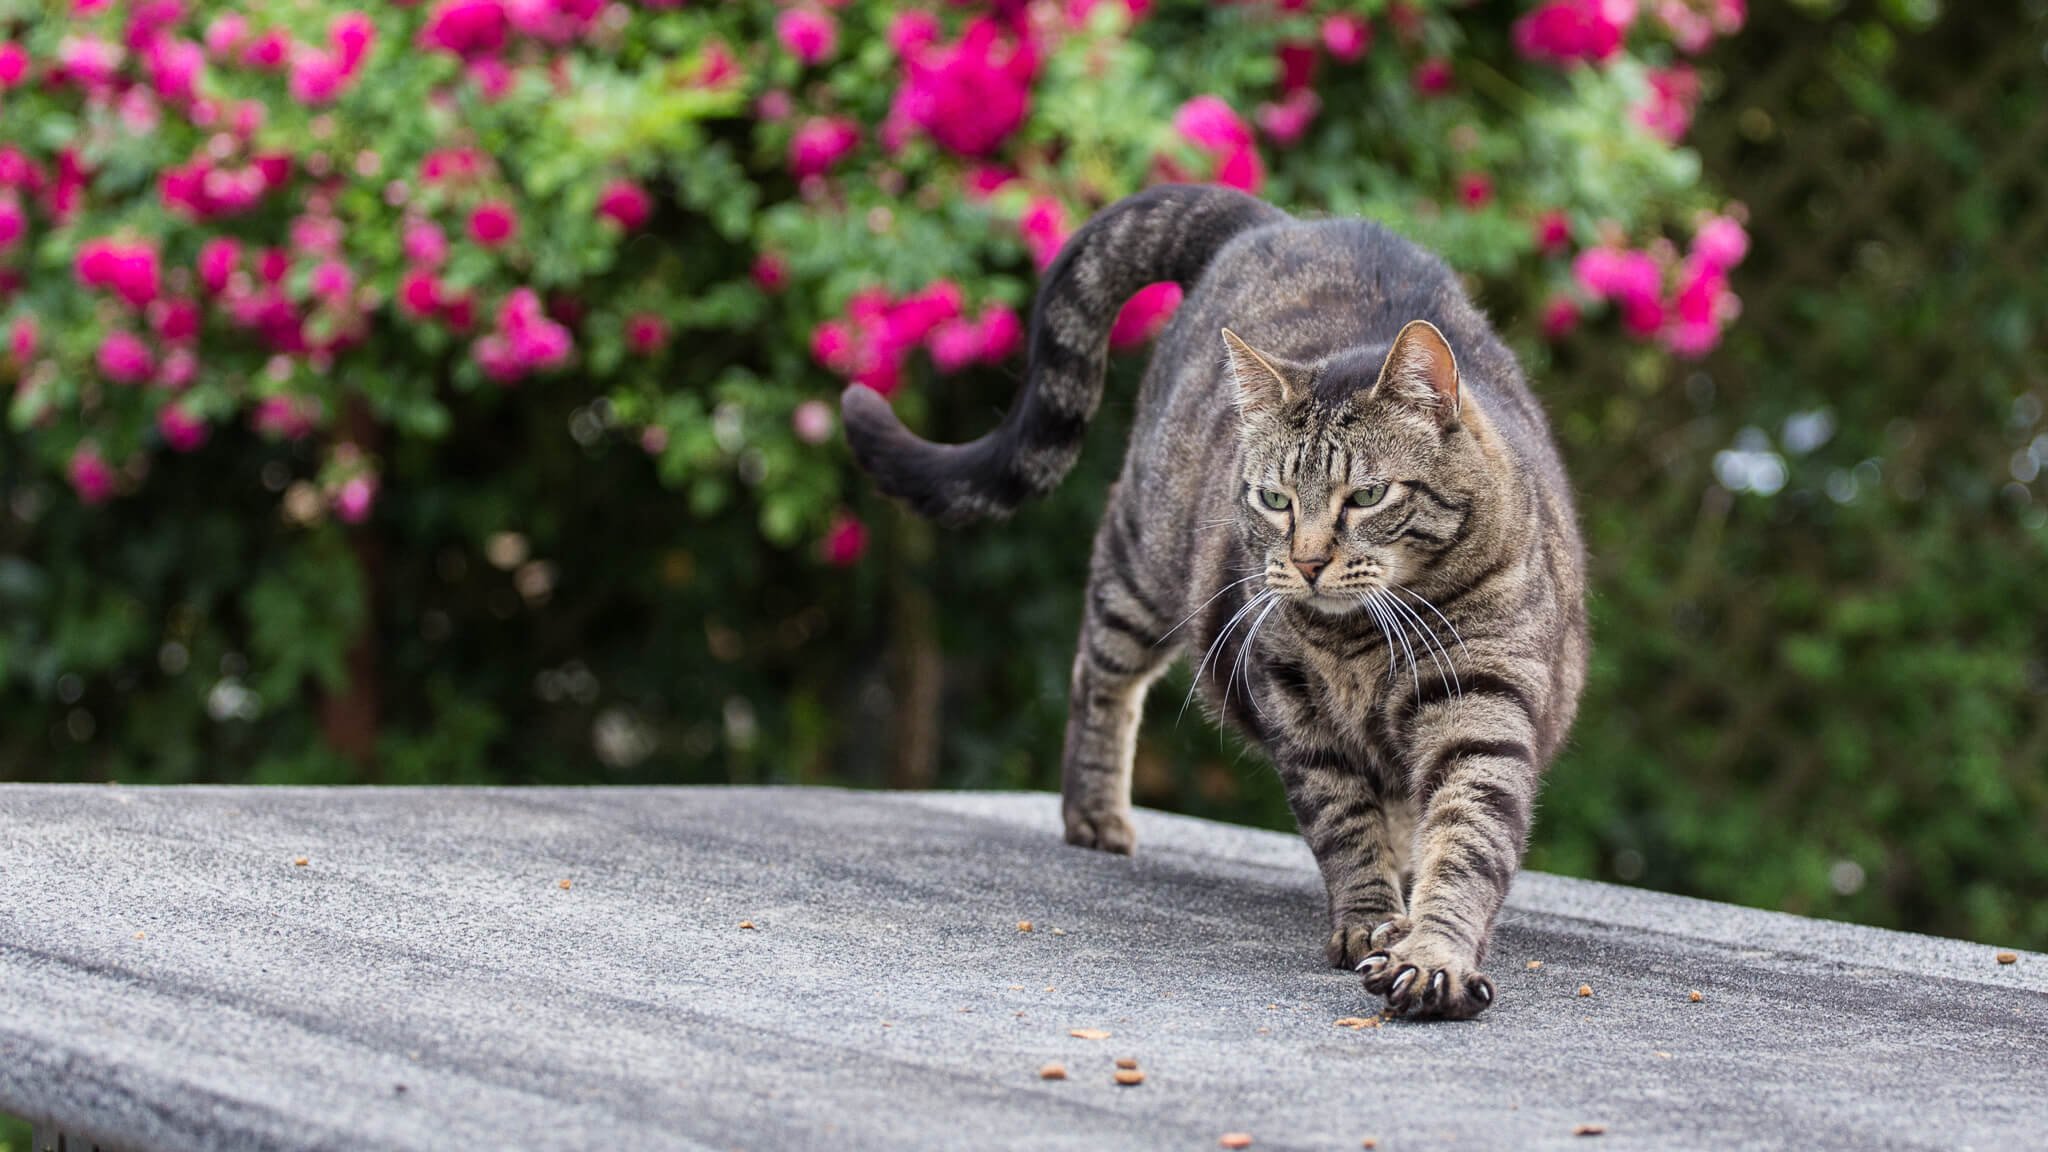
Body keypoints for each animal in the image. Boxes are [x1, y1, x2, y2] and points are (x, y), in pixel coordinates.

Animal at [839, 183, 1589, 1016]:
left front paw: (1431, 955)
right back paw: (1094, 814)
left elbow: (1465, 839)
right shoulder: (1295, 708)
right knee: (1099, 675)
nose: (1307, 562)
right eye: (1274, 499)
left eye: (1367, 496)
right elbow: (1345, 823)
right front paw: (1367, 921)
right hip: (1143, 561)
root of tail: (1280, 223)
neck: (1359, 645)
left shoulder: (1481, 706)